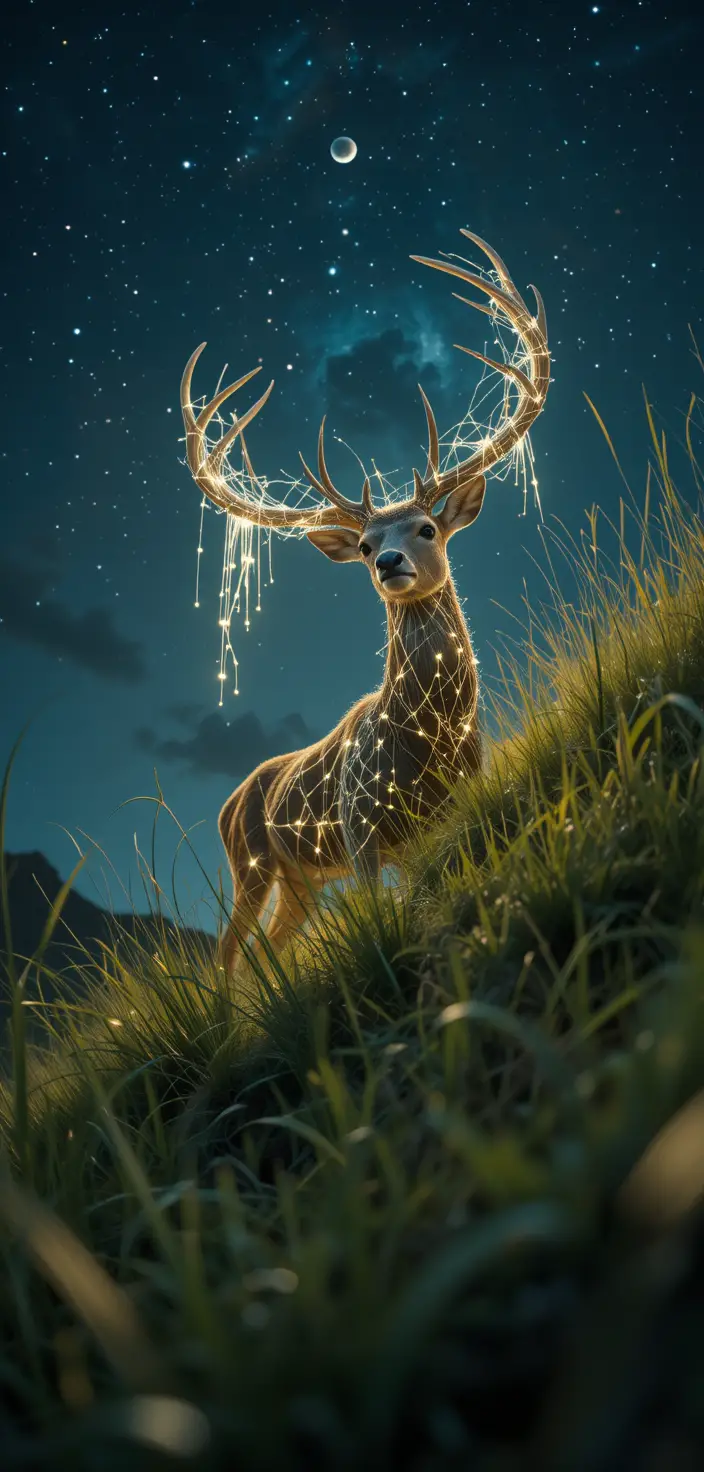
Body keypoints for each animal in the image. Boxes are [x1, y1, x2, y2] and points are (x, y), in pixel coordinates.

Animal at [180, 230, 550, 969]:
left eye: (427, 528)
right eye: (363, 542)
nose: (387, 562)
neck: (425, 744)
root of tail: (227, 802)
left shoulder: (446, 815)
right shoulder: (360, 828)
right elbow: (383, 914)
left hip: (299, 880)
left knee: (273, 942)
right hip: (251, 863)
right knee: (230, 950)